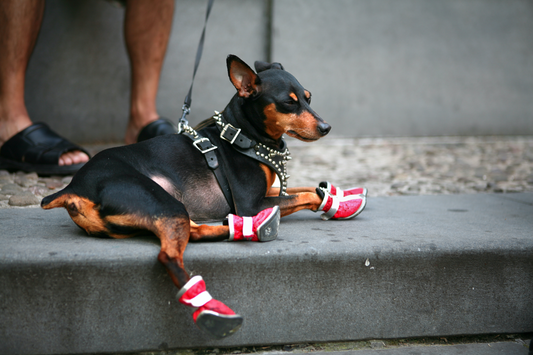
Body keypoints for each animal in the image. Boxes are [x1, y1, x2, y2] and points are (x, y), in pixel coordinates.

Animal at [41, 55, 366, 340]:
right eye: (289, 102)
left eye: (309, 97)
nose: (326, 127)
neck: (243, 136)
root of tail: (73, 189)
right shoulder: (249, 202)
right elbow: (307, 194)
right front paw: (332, 201)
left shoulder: (268, 193)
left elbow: (303, 188)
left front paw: (340, 198)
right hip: (162, 201)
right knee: (170, 256)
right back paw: (214, 309)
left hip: (170, 209)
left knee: (194, 232)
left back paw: (244, 228)